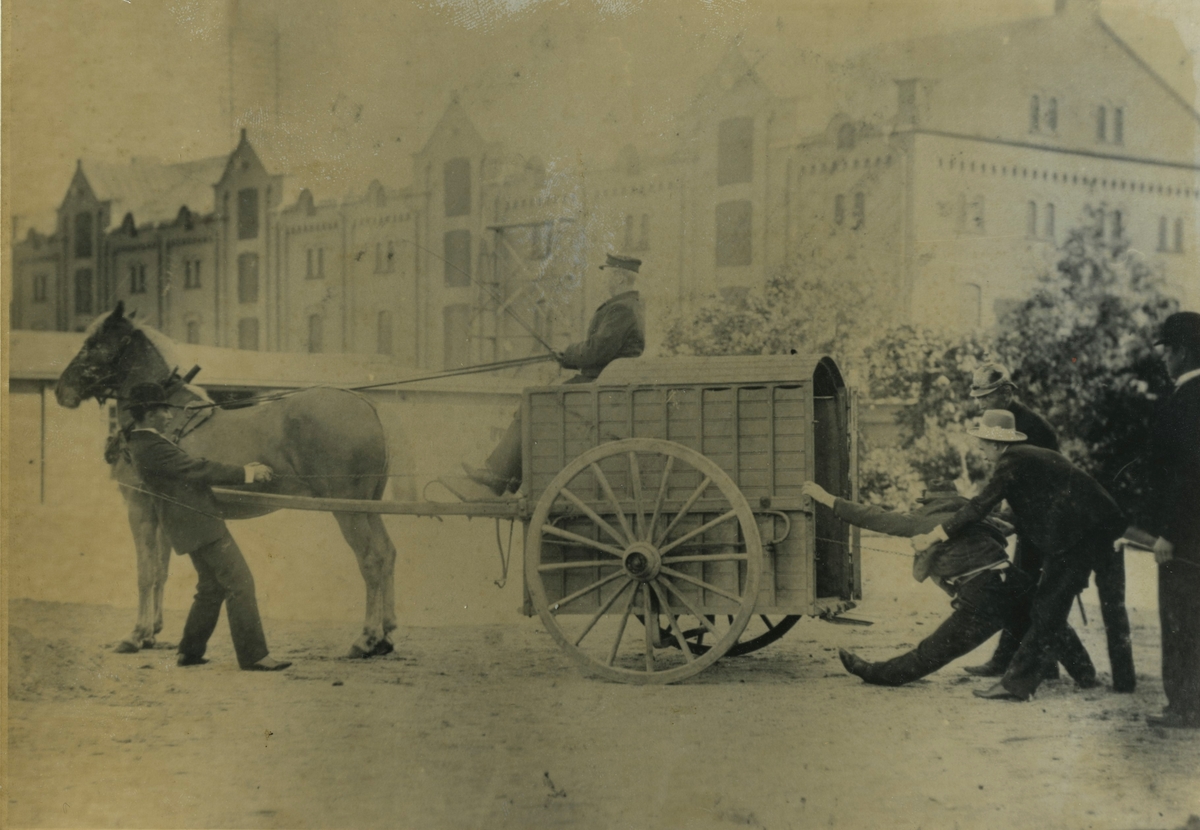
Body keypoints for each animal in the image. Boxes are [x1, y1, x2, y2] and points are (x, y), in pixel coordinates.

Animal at [55, 302, 400, 658]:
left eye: (92, 344)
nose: (61, 390)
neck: (159, 419)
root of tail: (367, 406)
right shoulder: (163, 510)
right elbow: (160, 571)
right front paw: (151, 632)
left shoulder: (140, 506)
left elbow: (145, 572)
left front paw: (135, 634)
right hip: (369, 506)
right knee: (387, 553)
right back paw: (385, 633)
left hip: (348, 509)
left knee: (371, 558)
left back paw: (366, 637)